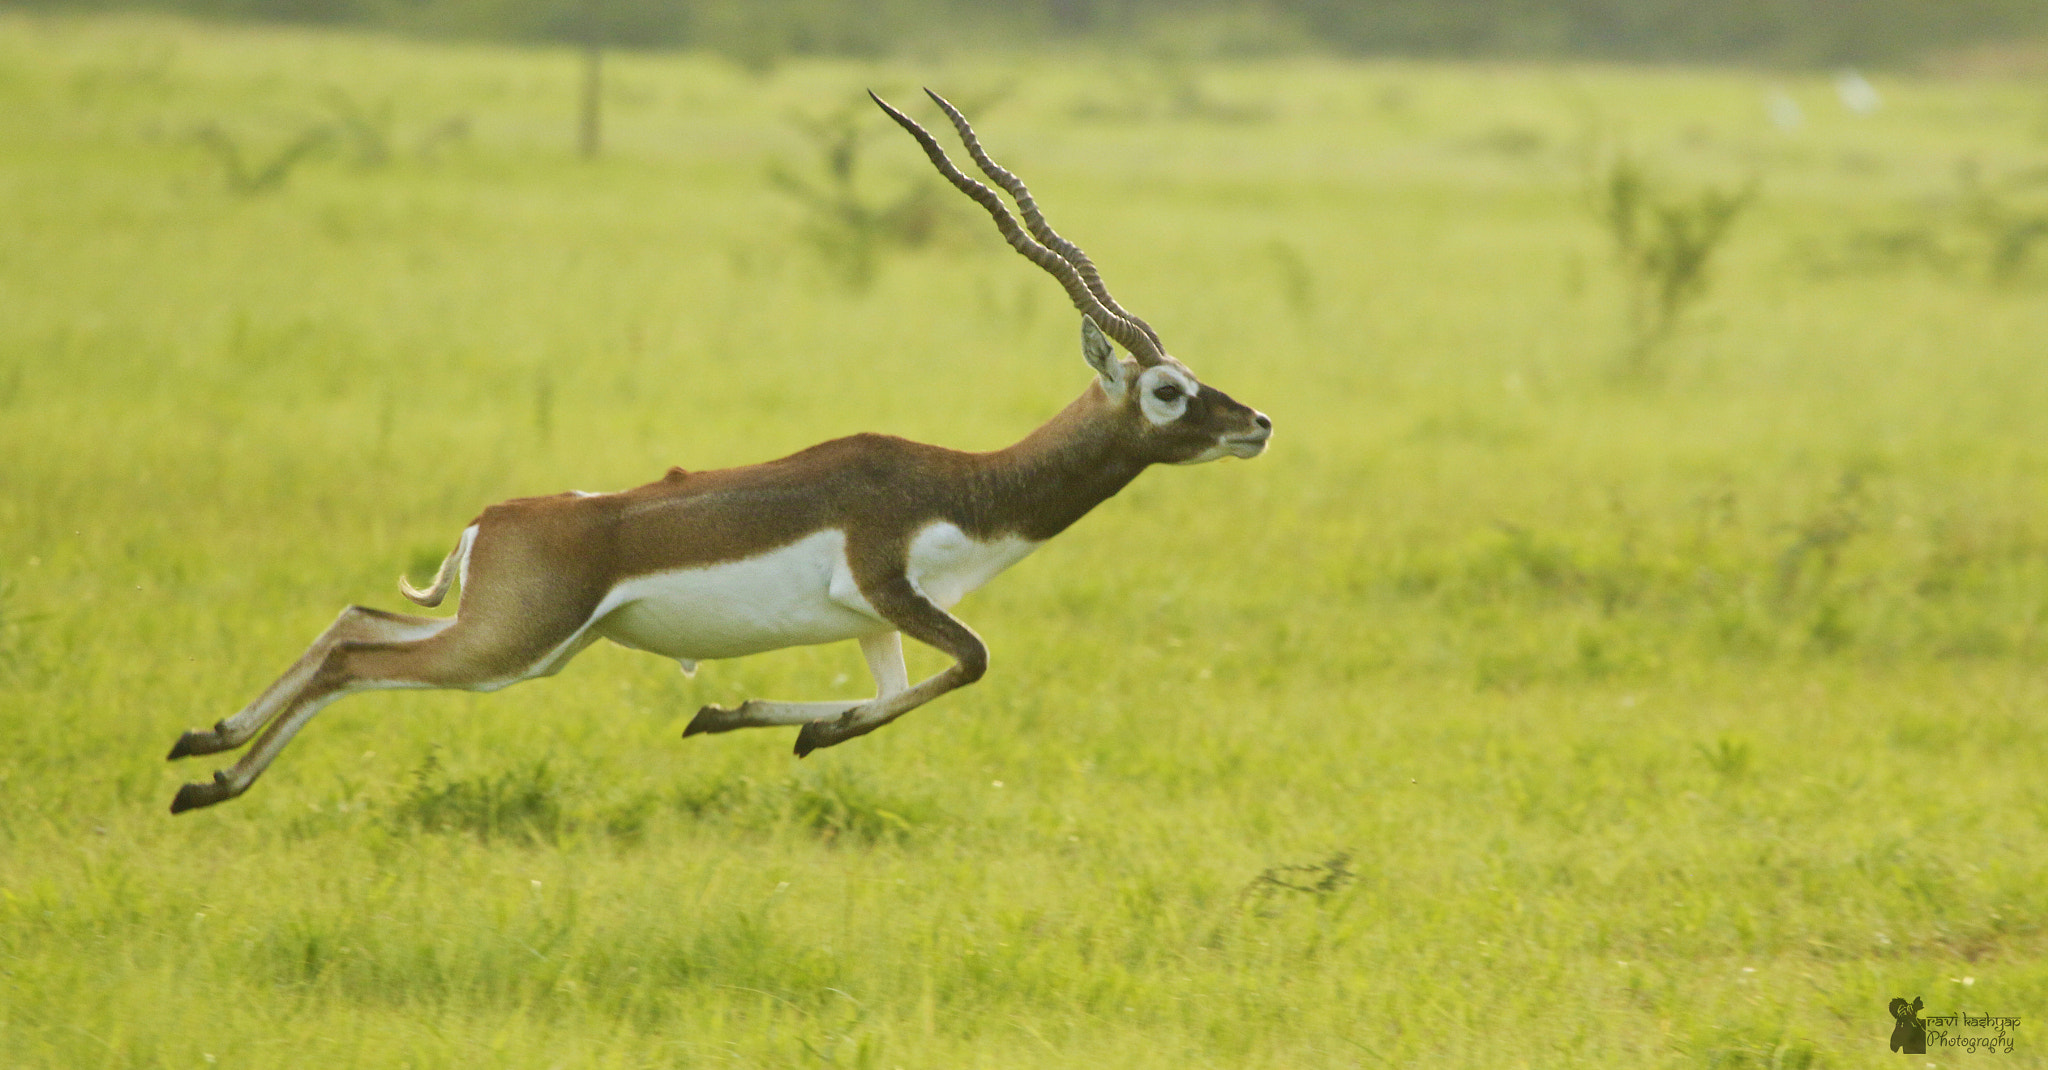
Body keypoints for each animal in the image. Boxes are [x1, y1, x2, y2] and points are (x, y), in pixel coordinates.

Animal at [172, 89, 1261, 807]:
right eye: (1167, 390)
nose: (1256, 423)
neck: (964, 486)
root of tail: (494, 518)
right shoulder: (889, 586)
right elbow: (974, 662)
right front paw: (791, 727)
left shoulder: (868, 621)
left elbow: (892, 692)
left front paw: (742, 718)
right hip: (508, 648)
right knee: (357, 655)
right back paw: (213, 782)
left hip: (528, 644)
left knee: (355, 620)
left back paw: (204, 743)